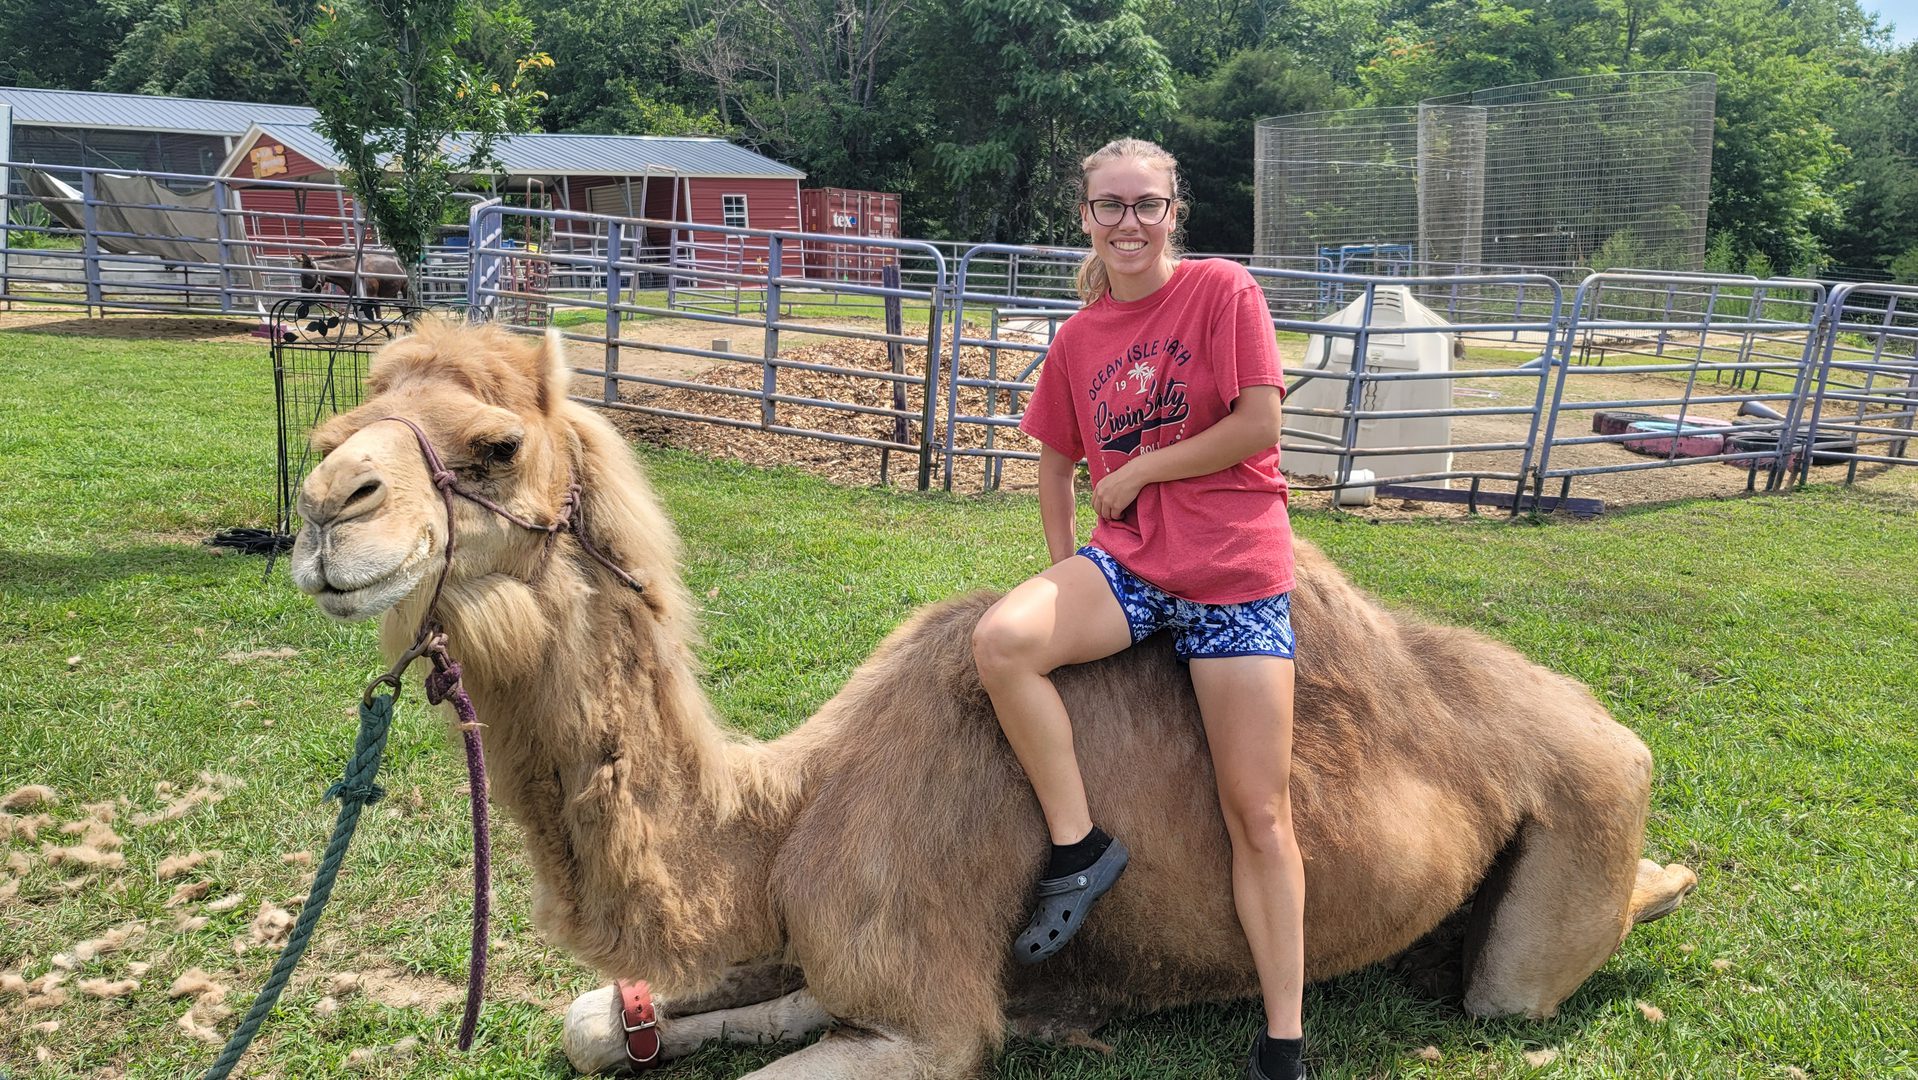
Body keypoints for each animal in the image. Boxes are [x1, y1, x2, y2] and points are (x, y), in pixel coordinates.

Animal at [288, 318, 1697, 1077]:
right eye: (334, 431)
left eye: (495, 447)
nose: (322, 515)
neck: (787, 812)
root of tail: (1612, 731)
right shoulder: (835, 945)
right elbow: (601, 1020)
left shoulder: (933, 1020)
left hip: (1572, 833)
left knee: (1516, 981)